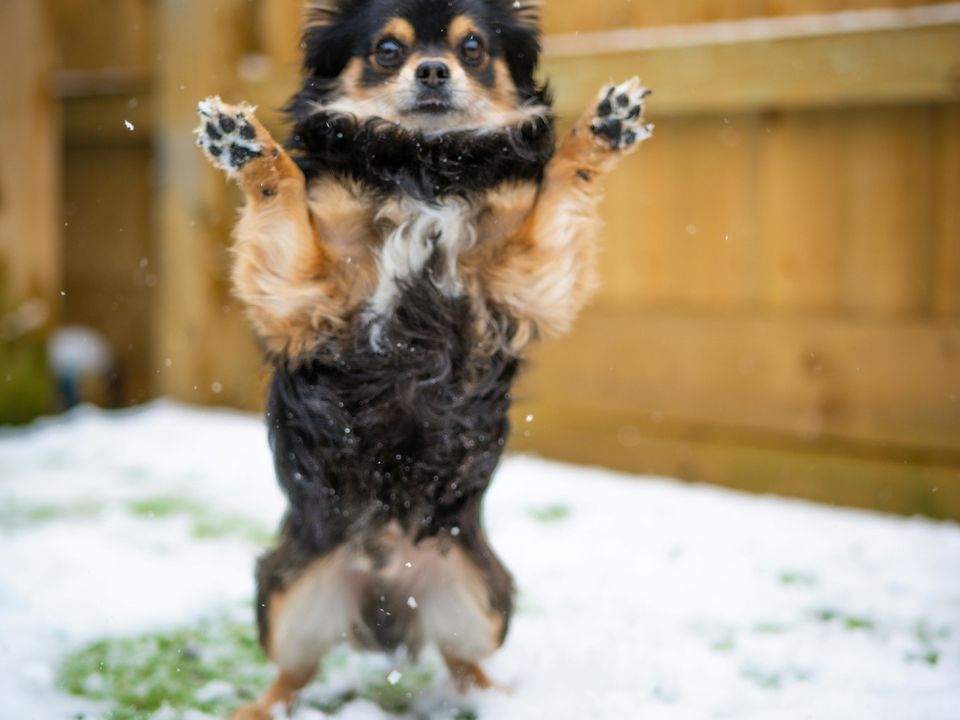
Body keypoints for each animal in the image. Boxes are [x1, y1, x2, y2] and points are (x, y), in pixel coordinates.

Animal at [193, 1, 652, 716]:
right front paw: (247, 146)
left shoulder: (527, 281)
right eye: (388, 49)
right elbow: (286, 187)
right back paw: (256, 708)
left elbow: (560, 185)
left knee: (465, 663)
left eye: (472, 48)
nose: (433, 69)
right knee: (292, 674)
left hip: (483, 594)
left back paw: (500, 699)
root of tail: (388, 595)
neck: (424, 164)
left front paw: (600, 131)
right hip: (287, 593)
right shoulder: (303, 299)